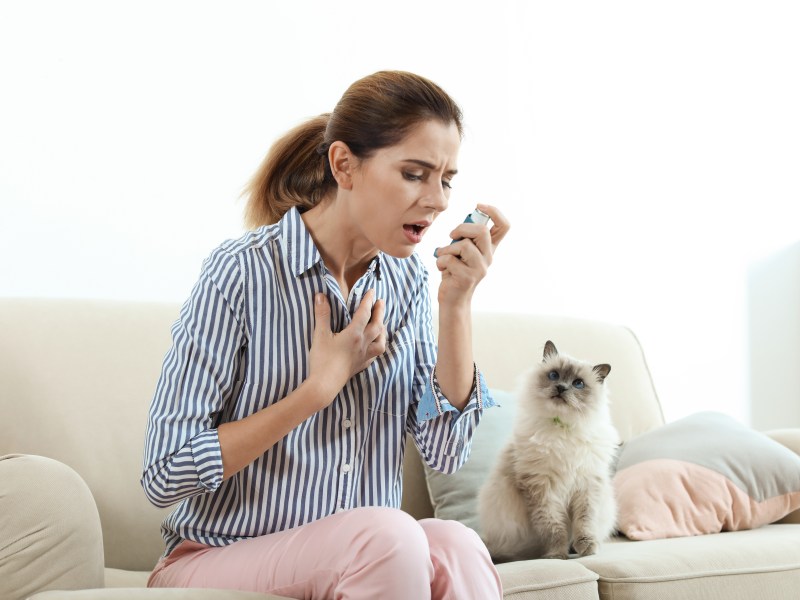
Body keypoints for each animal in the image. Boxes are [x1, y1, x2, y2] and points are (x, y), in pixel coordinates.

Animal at [478, 342, 620, 564]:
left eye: (578, 383)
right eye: (554, 375)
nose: (561, 387)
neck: (562, 430)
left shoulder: (586, 487)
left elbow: (584, 524)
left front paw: (587, 549)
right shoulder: (541, 488)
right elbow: (553, 528)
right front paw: (556, 555)